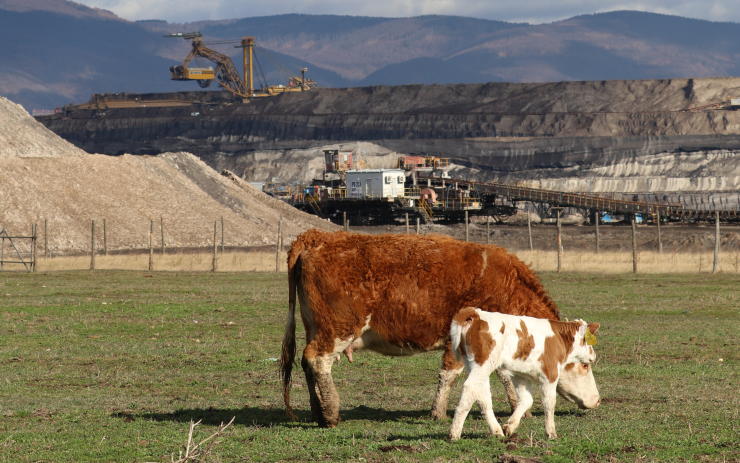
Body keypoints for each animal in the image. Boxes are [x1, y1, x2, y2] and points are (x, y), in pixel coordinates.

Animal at [282, 230, 568, 430]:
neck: (508, 286)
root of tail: (320, 237)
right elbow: (450, 375)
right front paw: (438, 413)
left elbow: (504, 374)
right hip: (337, 330)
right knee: (318, 360)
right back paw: (330, 413)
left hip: (316, 328)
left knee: (307, 363)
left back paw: (317, 411)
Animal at [448, 308, 600, 442]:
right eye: (585, 366)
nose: (593, 356)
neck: (558, 338)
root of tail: (475, 313)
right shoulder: (550, 374)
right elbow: (549, 403)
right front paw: (551, 433)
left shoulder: (521, 375)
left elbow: (527, 400)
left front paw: (510, 426)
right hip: (483, 364)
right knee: (469, 387)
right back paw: (454, 433)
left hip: (474, 366)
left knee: (482, 396)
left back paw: (496, 431)